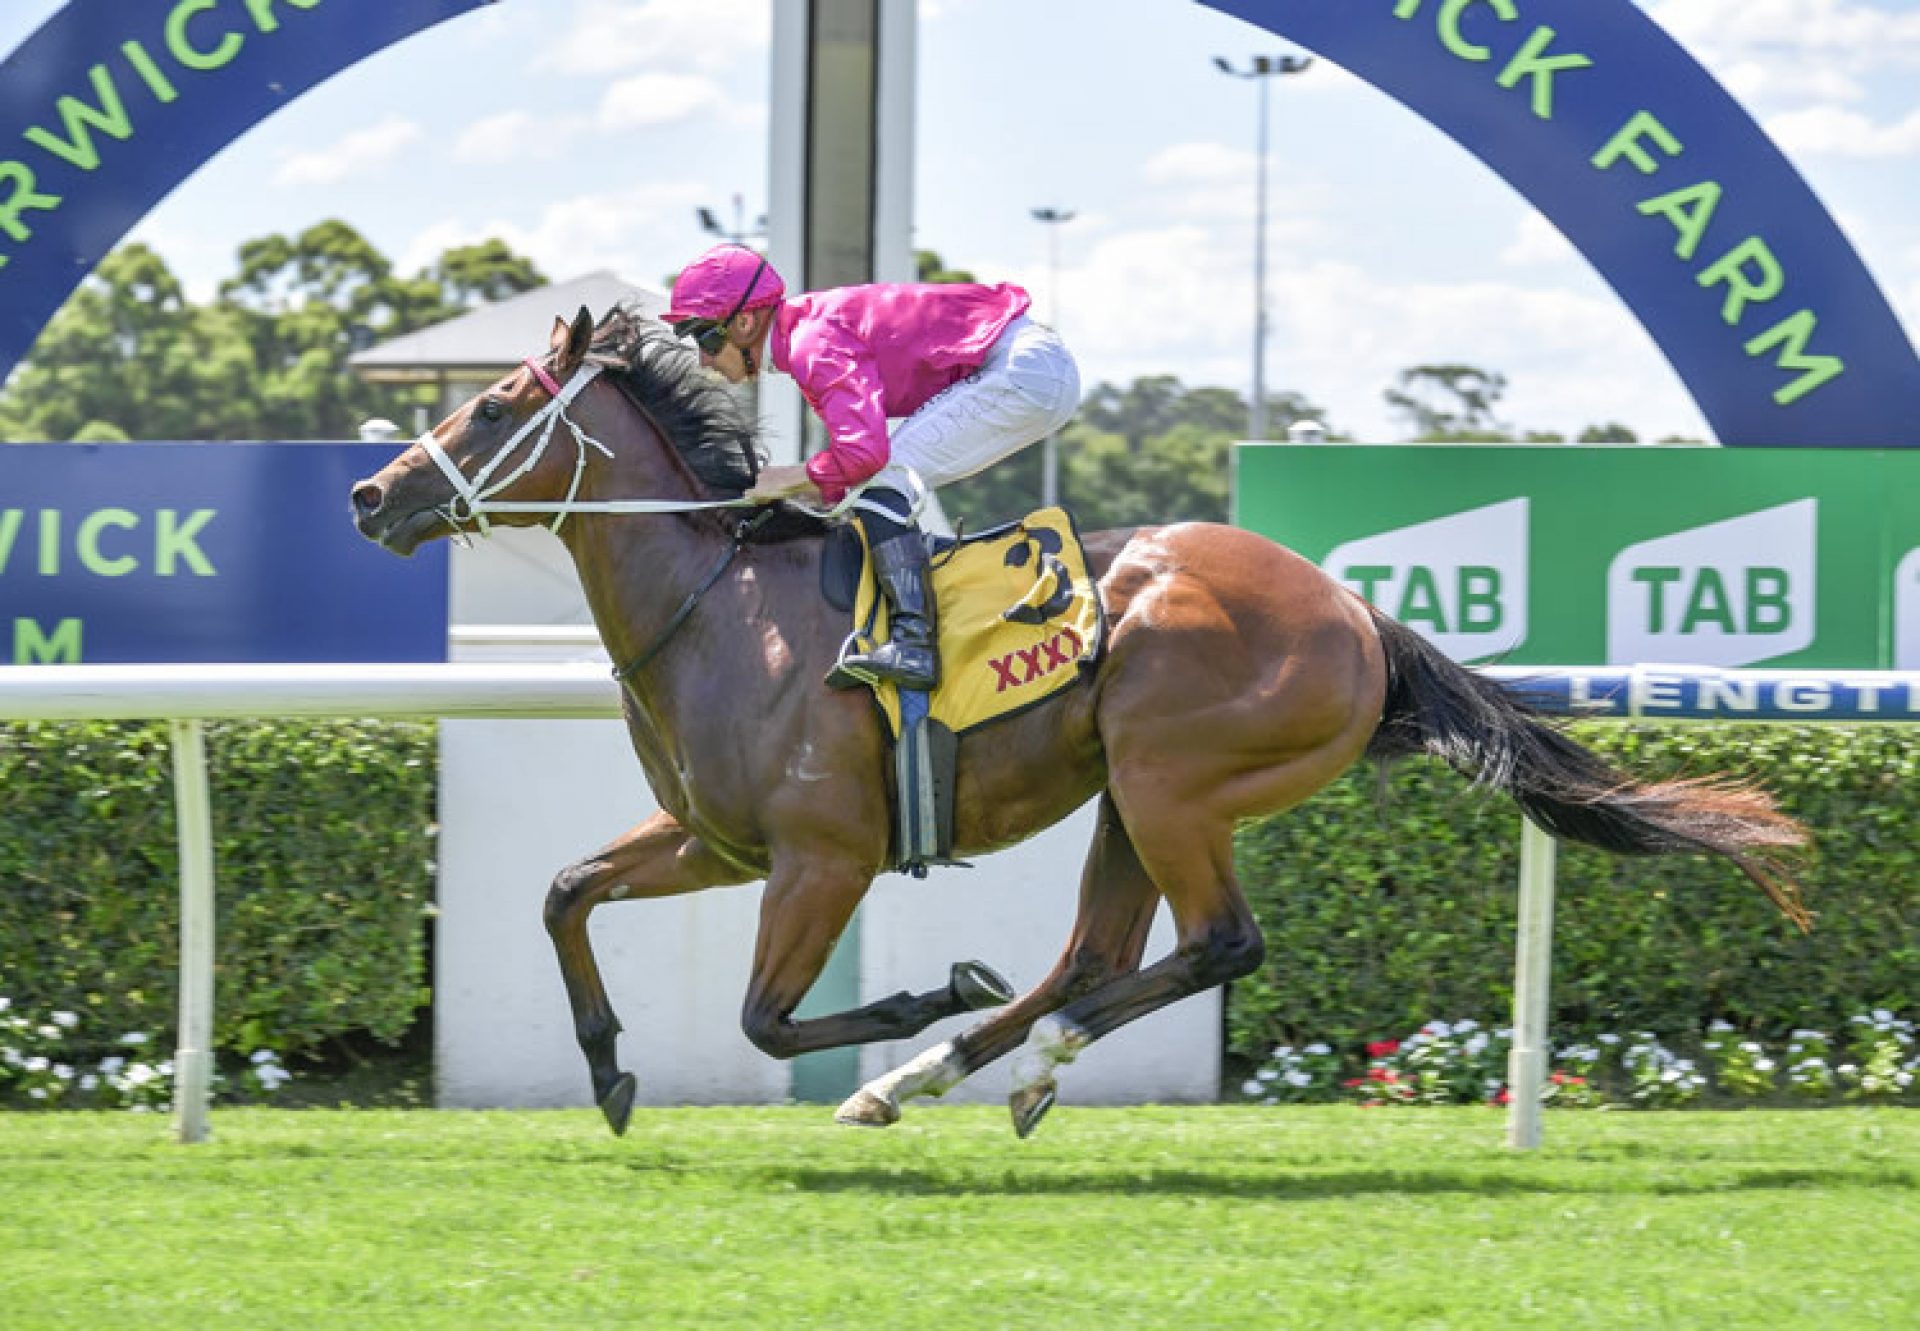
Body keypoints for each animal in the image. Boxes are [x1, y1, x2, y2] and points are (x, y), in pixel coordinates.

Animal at [349, 305, 1812, 1137]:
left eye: (490, 405)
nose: (371, 494)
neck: (725, 605)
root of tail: (1356, 610)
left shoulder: (820, 856)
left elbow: (768, 1019)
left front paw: (919, 991)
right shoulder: (716, 839)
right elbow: (562, 889)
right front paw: (606, 1072)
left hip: (1174, 781)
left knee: (1214, 942)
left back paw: (1009, 1057)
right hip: (1125, 790)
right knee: (1093, 954)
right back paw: (933, 1074)